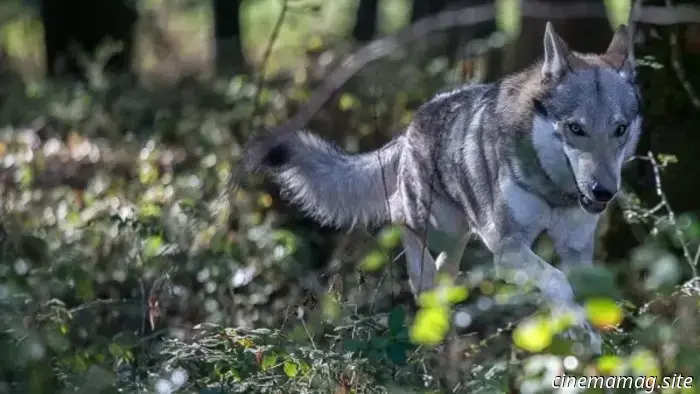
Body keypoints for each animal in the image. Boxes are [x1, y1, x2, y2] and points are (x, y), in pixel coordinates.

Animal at [243, 23, 644, 352]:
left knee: (443, 278)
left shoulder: (576, 250)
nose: (603, 192)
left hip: (459, 239)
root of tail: (410, 128)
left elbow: (578, 294)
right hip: (438, 225)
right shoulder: (508, 249)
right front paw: (581, 333)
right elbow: (557, 280)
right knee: (404, 231)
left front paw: (587, 341)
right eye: (576, 129)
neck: (554, 190)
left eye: (620, 130)